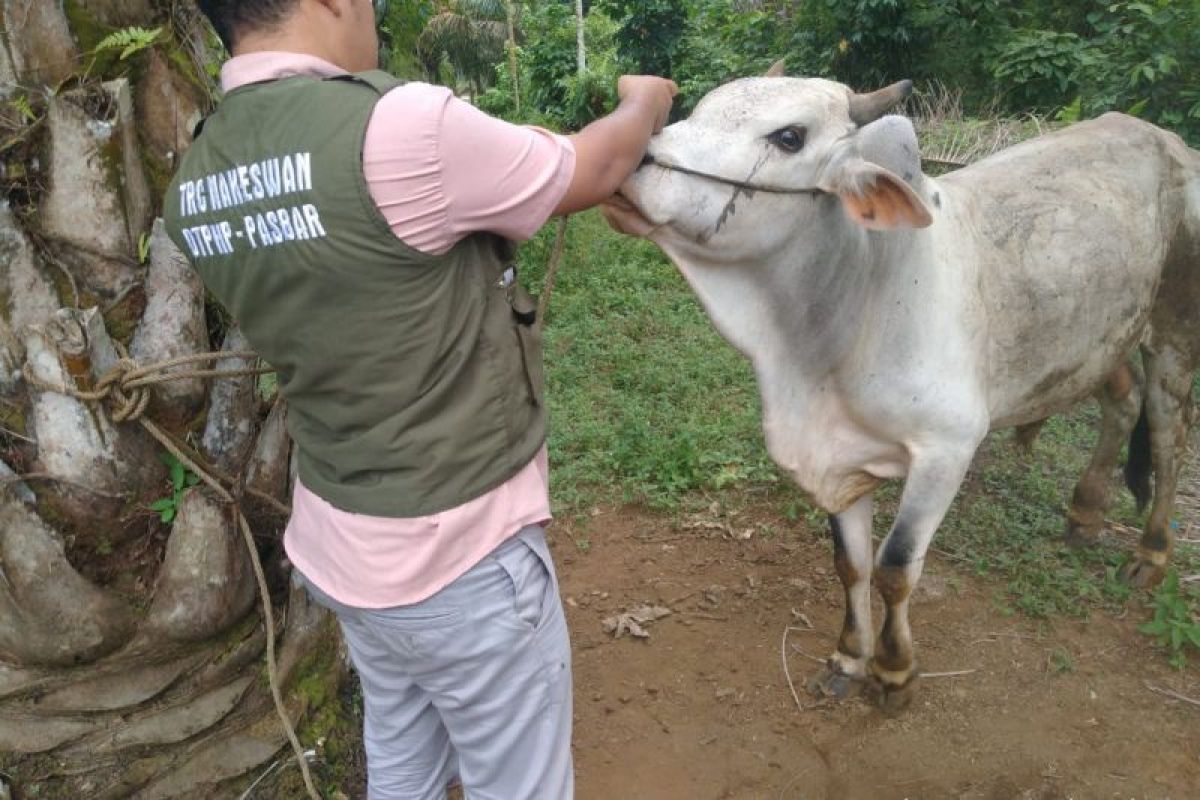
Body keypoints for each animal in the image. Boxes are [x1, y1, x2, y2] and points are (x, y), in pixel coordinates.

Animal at [604, 67, 1200, 705]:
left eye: (790, 137)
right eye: (699, 108)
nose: (634, 160)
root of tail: (1164, 138)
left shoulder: (947, 449)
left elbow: (895, 566)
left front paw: (893, 670)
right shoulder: (839, 455)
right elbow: (851, 563)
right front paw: (848, 656)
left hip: (1172, 331)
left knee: (1167, 435)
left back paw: (1151, 554)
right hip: (1097, 338)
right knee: (1123, 404)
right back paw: (1086, 512)